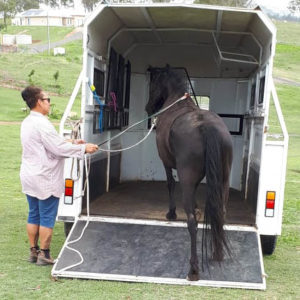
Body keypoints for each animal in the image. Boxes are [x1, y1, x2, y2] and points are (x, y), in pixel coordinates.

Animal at [146, 66, 233, 282]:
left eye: (153, 82)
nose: (148, 108)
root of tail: (205, 126)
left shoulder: (166, 163)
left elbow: (170, 183)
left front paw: (171, 212)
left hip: (186, 178)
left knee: (192, 222)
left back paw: (193, 269)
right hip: (223, 181)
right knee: (221, 212)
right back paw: (217, 253)